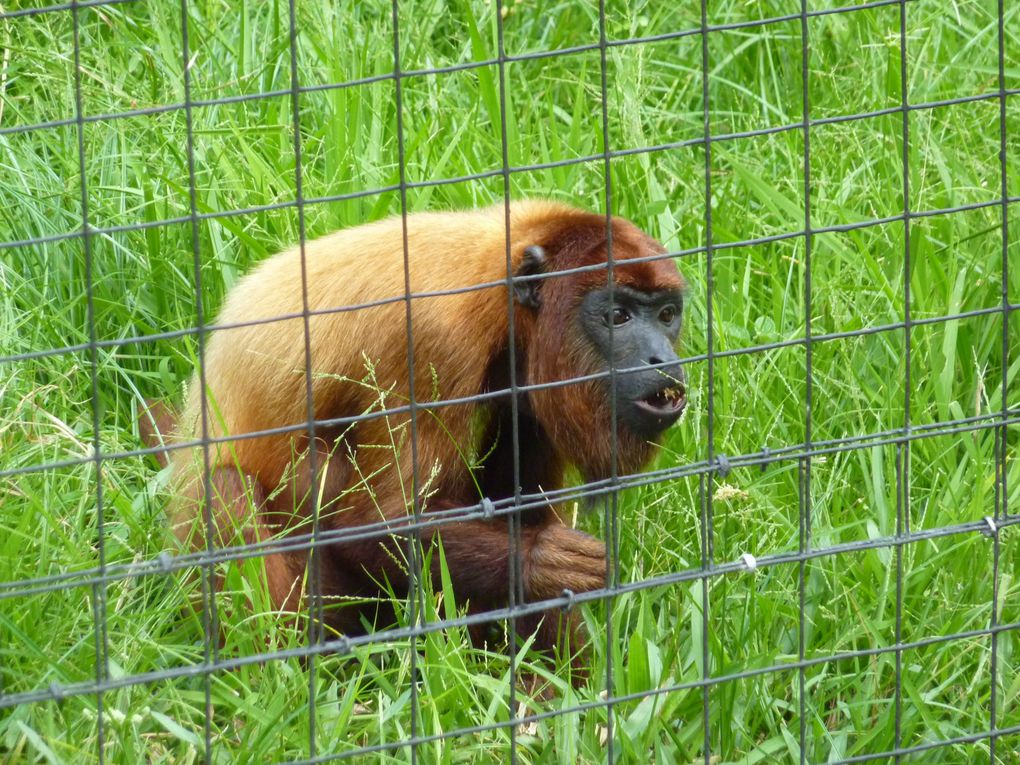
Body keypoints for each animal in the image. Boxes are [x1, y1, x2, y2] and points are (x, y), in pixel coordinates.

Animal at [141, 200, 685, 660]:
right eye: (617, 316)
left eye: (666, 315)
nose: (663, 359)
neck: (500, 277)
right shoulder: (429, 341)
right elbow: (374, 521)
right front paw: (541, 561)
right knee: (225, 489)